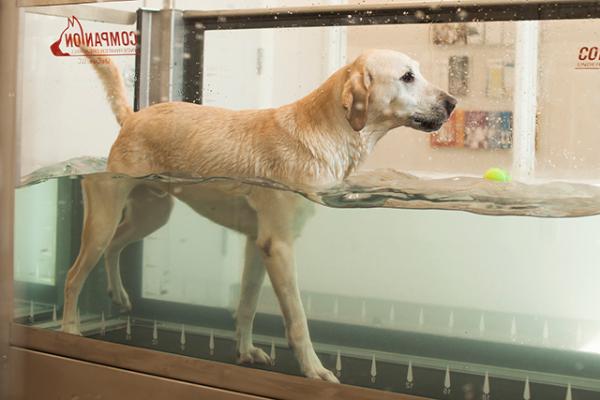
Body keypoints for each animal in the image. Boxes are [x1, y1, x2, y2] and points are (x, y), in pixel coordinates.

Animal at [62, 47, 454, 382]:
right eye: (407, 76)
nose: (453, 103)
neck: (330, 130)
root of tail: (132, 117)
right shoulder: (277, 245)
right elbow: (297, 319)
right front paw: (314, 370)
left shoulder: (257, 245)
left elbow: (247, 305)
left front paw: (246, 351)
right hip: (103, 218)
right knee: (73, 275)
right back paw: (69, 330)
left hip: (151, 214)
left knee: (115, 247)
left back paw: (118, 294)